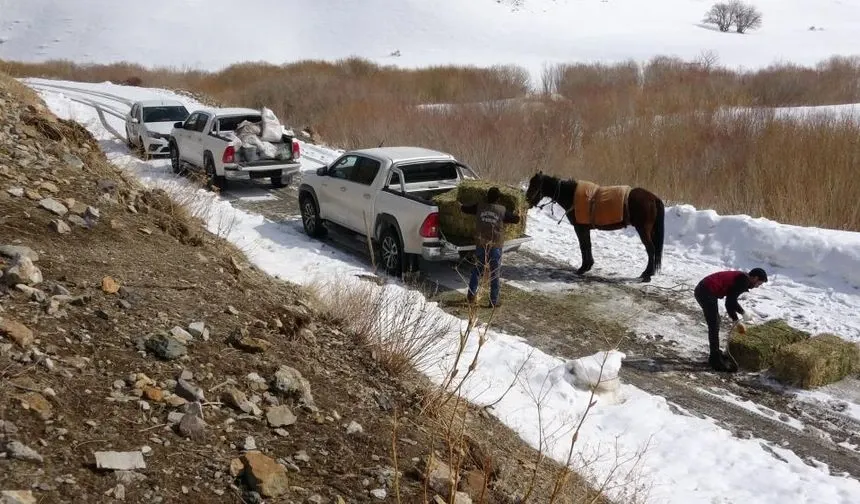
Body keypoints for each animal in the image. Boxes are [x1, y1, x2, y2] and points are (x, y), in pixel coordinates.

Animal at [524, 172, 664, 284]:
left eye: (534, 185)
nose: (526, 202)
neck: (572, 195)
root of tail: (654, 198)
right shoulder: (585, 229)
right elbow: (588, 245)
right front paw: (588, 266)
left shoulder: (580, 228)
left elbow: (583, 246)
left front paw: (582, 268)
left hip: (643, 230)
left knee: (651, 249)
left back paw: (647, 275)